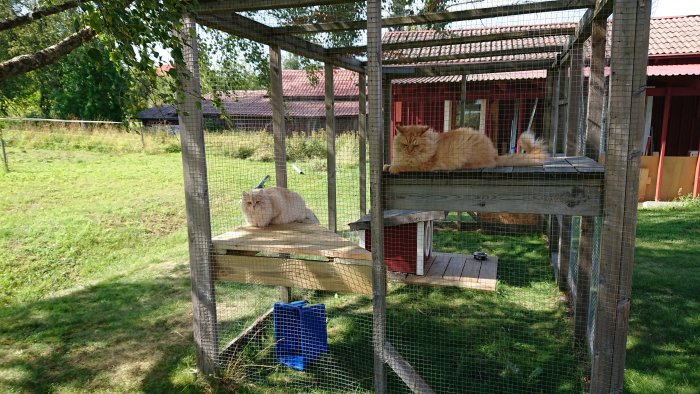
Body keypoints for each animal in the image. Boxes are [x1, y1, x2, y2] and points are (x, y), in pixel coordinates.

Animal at [380, 124, 548, 174]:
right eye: (405, 144)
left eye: (415, 145)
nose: (409, 150)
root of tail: (494, 154)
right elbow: (391, 163)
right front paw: (387, 165)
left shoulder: (422, 165)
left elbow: (403, 166)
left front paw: (392, 168)